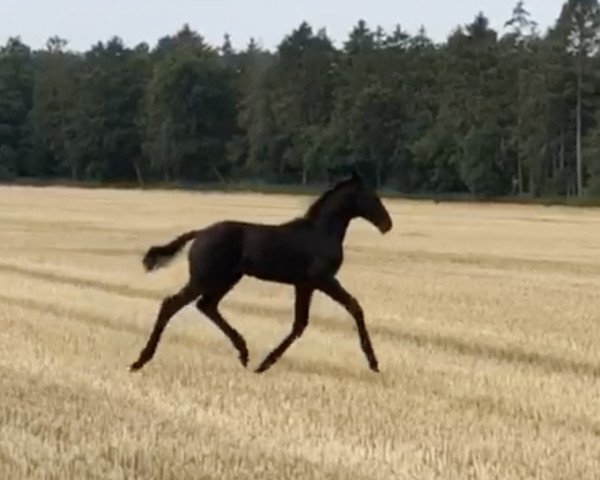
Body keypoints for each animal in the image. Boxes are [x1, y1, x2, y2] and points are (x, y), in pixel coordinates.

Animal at [130, 171, 394, 374]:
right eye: (372, 197)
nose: (387, 224)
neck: (320, 232)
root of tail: (200, 233)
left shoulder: (304, 284)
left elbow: (299, 324)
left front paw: (264, 364)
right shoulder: (323, 279)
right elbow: (354, 307)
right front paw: (373, 362)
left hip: (228, 278)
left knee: (206, 305)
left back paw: (244, 352)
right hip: (205, 278)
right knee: (172, 304)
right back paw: (140, 360)